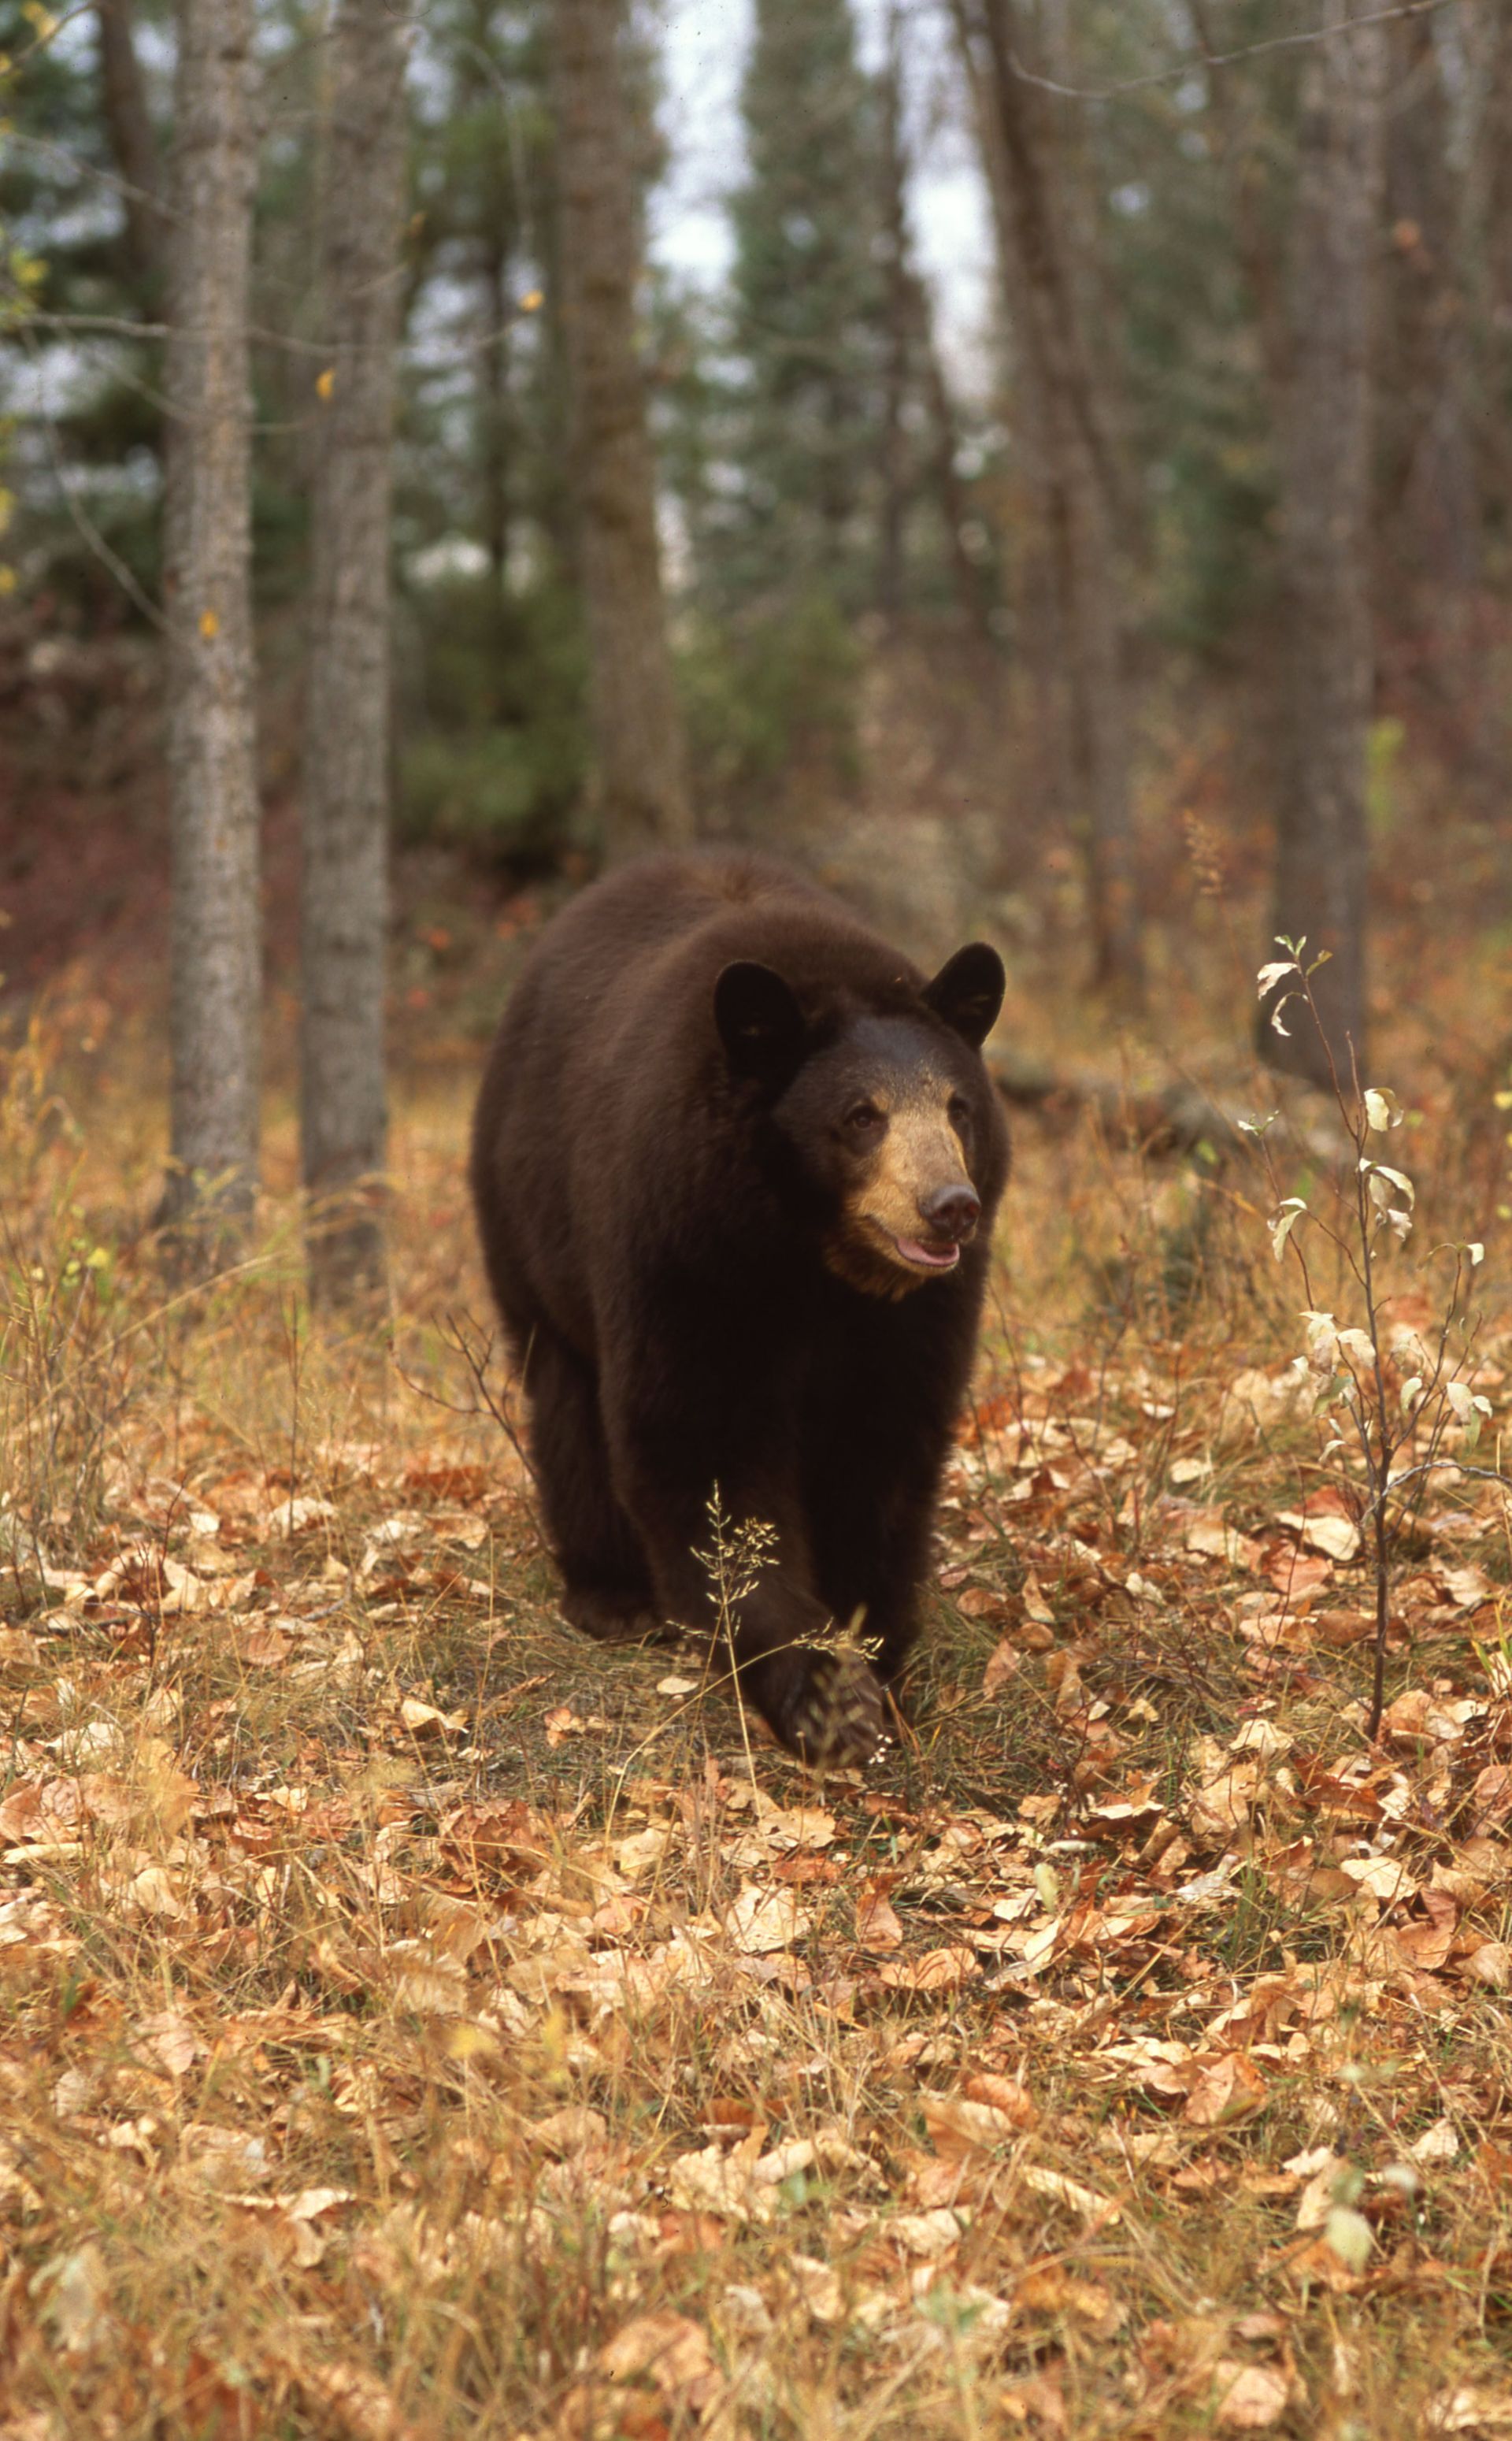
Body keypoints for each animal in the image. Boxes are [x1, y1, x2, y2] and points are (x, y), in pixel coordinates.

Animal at [469, 852, 1009, 1765]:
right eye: (861, 1116)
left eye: (957, 1107)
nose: (951, 1207)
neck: (814, 1258)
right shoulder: (684, 1244)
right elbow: (701, 1447)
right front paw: (827, 1696)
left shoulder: (917, 1317)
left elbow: (886, 1451)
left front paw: (879, 1656)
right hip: (528, 1221)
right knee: (566, 1400)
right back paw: (610, 1593)